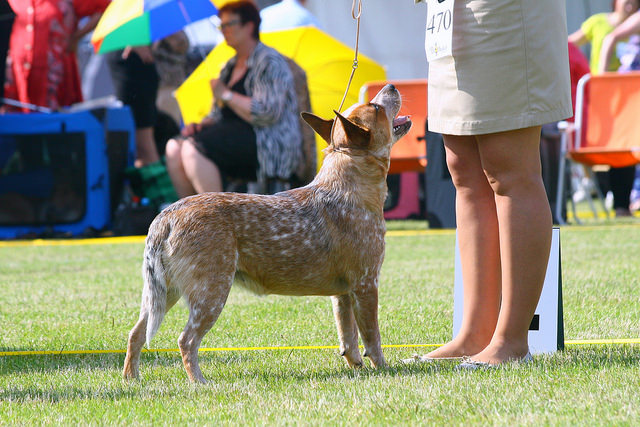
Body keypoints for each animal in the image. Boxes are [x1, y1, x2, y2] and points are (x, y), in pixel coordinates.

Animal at [122, 85, 412, 382]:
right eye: (375, 107)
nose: (391, 86)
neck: (350, 189)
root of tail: (166, 216)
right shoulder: (366, 283)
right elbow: (372, 336)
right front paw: (384, 368)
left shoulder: (342, 293)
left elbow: (348, 335)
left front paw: (356, 366)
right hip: (211, 292)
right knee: (186, 339)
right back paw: (199, 382)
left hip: (161, 292)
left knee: (136, 333)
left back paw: (132, 378)